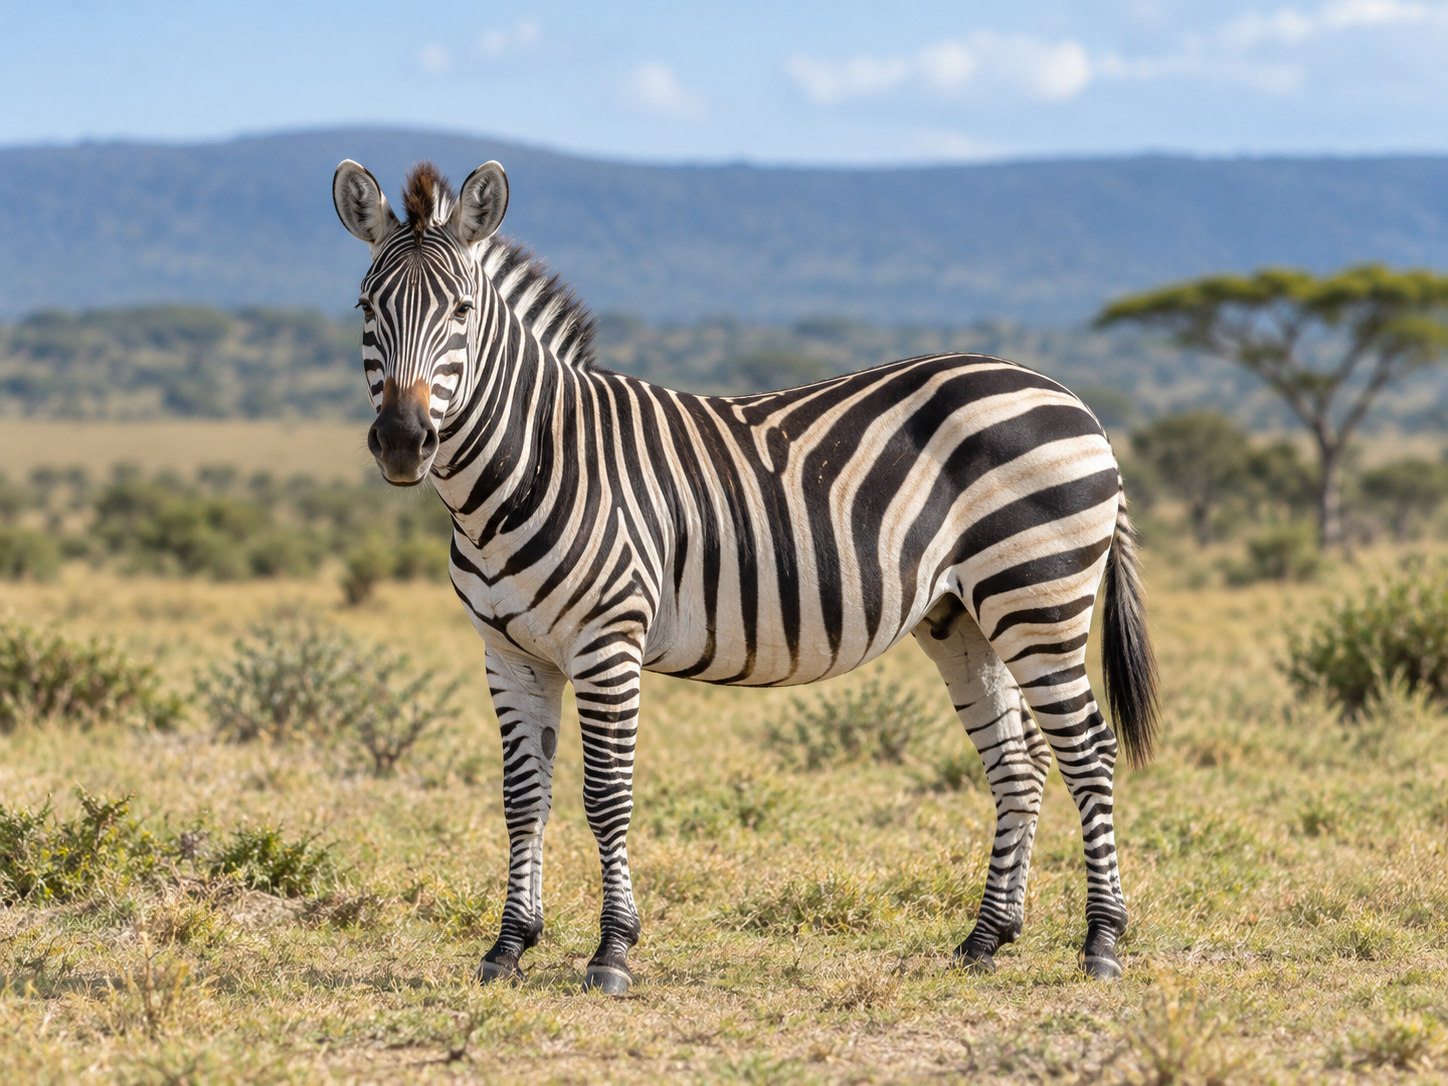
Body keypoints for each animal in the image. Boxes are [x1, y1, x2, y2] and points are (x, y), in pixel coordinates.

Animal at [333, 158, 1159, 994]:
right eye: (367, 307)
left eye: (462, 311)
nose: (402, 441)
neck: (532, 460)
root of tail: (1072, 400)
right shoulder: (509, 652)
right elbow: (523, 796)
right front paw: (509, 945)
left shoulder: (608, 641)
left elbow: (606, 794)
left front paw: (612, 951)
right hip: (964, 617)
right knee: (1019, 763)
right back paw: (987, 938)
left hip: (1039, 599)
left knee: (1088, 751)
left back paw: (1101, 941)